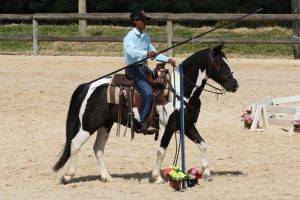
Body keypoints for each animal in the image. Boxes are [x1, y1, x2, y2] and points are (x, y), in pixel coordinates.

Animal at [53, 44, 239, 184]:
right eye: (222, 65)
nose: (234, 84)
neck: (181, 91)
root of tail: (88, 85)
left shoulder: (187, 126)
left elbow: (203, 144)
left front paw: (206, 172)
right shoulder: (167, 127)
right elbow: (161, 151)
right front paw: (157, 177)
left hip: (105, 125)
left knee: (98, 148)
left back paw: (106, 176)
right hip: (89, 124)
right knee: (75, 144)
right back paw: (67, 176)